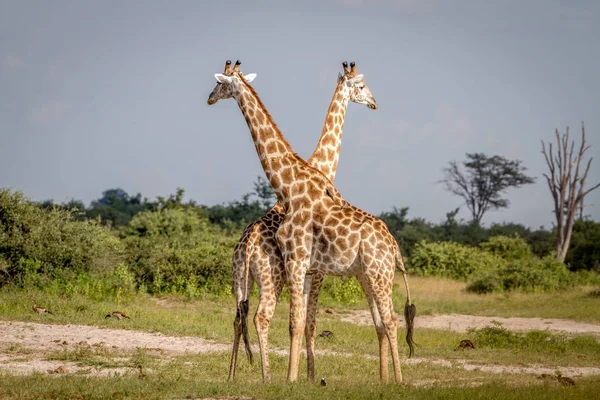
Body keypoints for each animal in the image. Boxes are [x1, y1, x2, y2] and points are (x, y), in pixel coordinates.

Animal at [209, 60, 414, 384]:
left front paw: (299, 377)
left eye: (219, 83)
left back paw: (396, 380)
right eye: (361, 85)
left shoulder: (306, 267)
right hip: (257, 277)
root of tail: (393, 245)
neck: (292, 182)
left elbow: (302, 322)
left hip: (371, 274)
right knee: (248, 317)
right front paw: (299, 377)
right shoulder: (304, 267)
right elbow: (300, 321)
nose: (374, 102)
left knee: (389, 320)